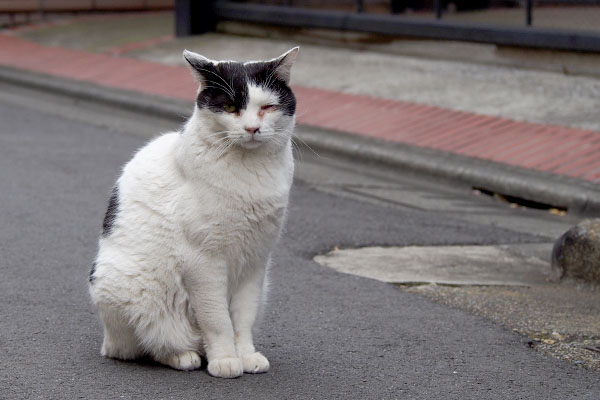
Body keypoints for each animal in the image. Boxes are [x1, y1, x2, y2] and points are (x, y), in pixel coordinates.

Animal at [89, 47, 300, 378]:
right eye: (229, 107)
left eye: (267, 107)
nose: (252, 129)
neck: (249, 174)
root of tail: (105, 341)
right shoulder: (204, 261)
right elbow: (217, 319)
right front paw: (225, 359)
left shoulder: (255, 261)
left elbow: (242, 317)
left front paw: (245, 355)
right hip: (123, 286)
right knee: (143, 346)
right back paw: (183, 356)